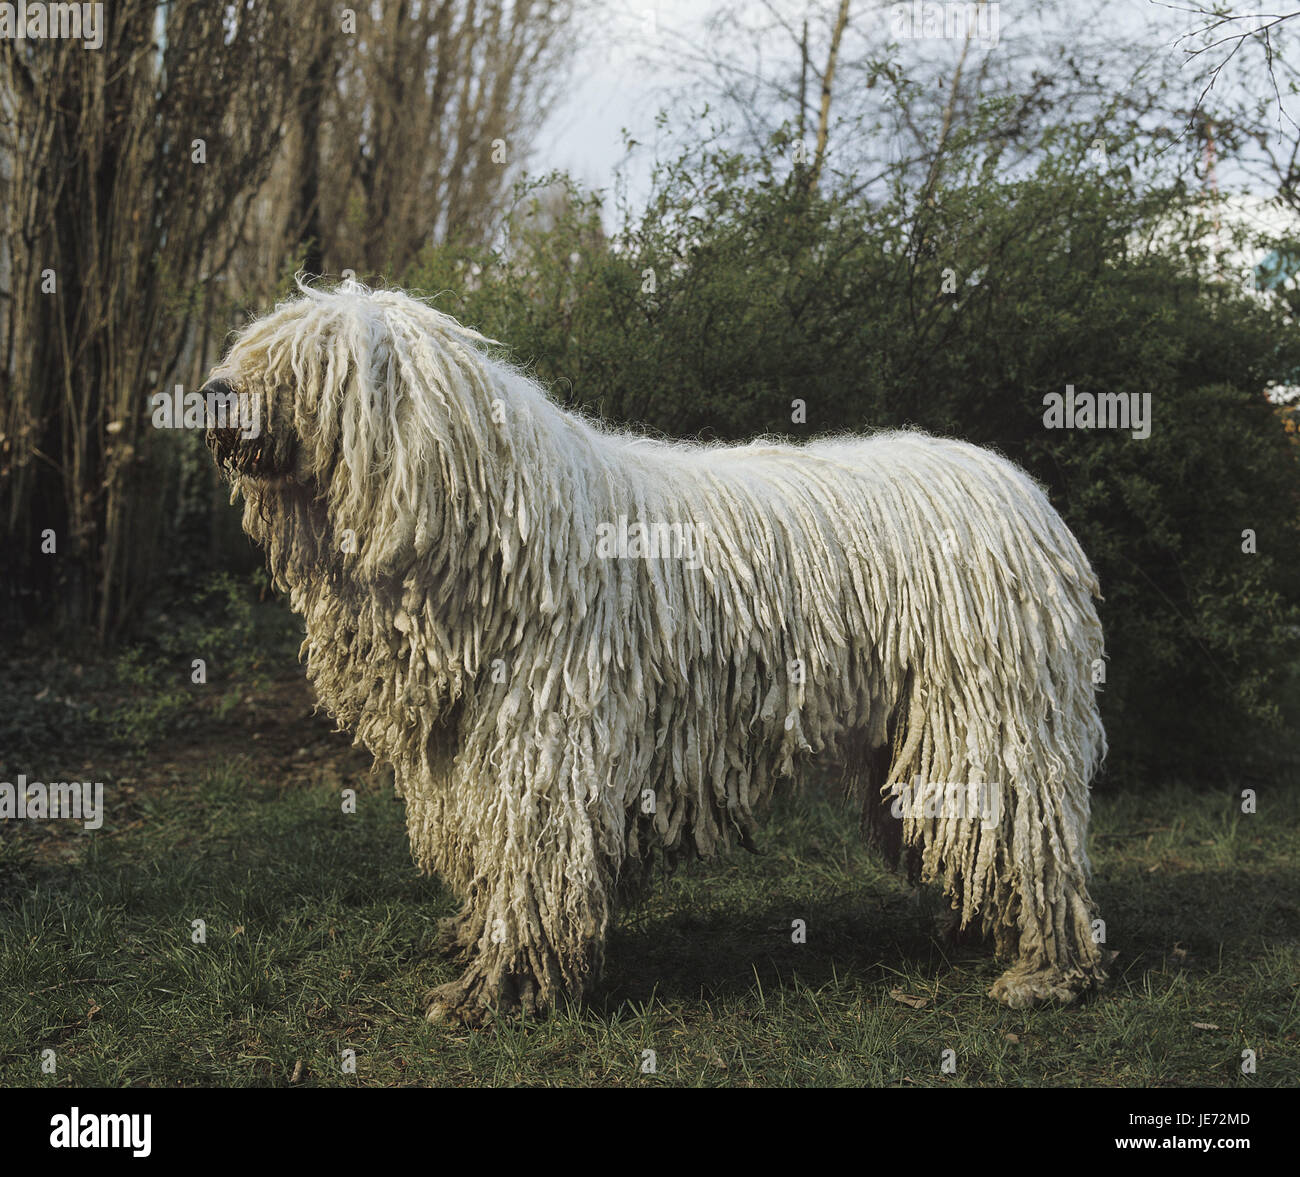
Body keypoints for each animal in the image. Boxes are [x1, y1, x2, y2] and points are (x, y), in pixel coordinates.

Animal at [202, 282, 1107, 1019]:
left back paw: (1047, 969)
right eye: (254, 345)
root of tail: (1023, 493)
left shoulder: (545, 743)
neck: (500, 534)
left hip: (988, 712)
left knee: (1032, 831)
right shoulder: (471, 751)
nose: (211, 395)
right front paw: (475, 936)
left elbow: (532, 860)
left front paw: (497, 986)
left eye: (311, 362)